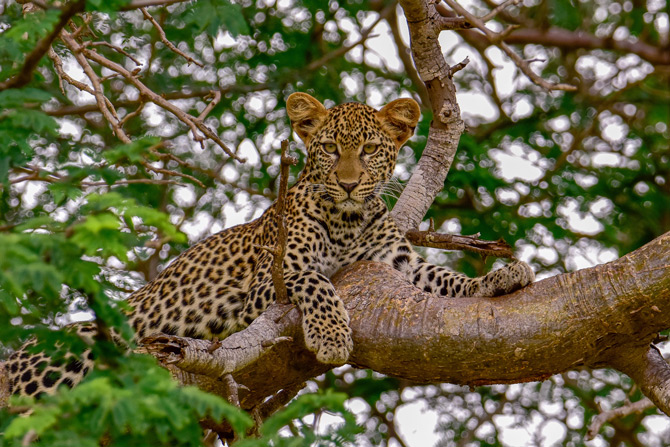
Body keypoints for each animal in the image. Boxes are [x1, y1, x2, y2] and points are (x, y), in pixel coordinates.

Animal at [2, 92, 532, 400]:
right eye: (329, 149)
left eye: (369, 150)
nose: (347, 184)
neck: (348, 220)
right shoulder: (268, 282)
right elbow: (317, 281)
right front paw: (332, 337)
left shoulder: (396, 264)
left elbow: (447, 278)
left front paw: (503, 275)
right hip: (75, 345)